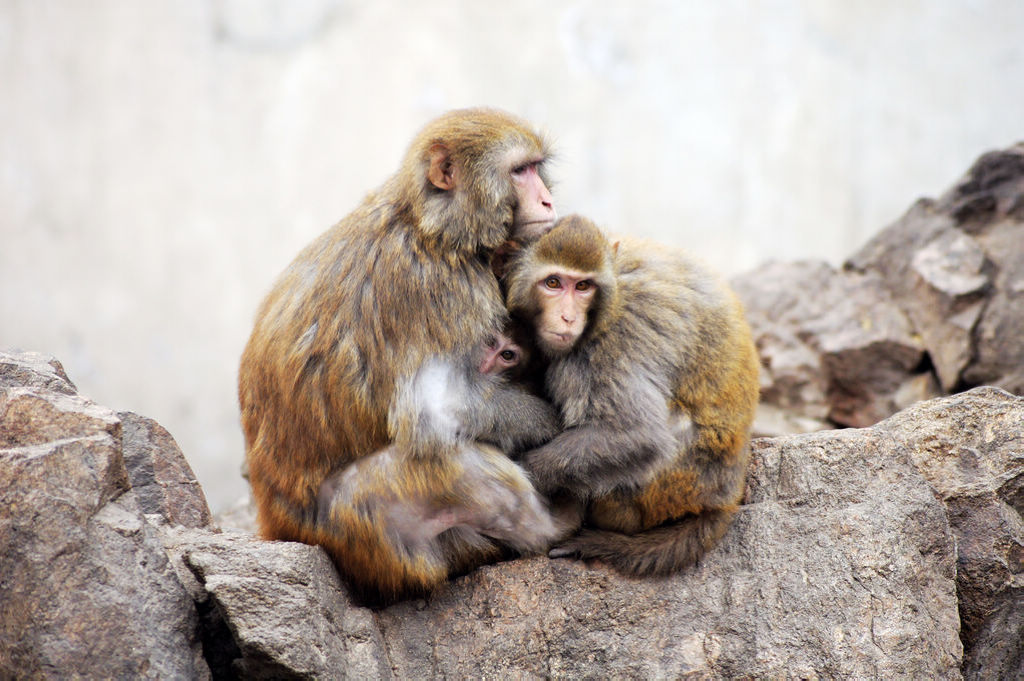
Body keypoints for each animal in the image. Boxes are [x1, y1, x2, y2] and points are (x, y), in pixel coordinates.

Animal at [503, 215, 761, 577]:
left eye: (583, 286)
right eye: (553, 283)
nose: (568, 317)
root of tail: (724, 500)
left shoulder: (619, 332)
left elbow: (635, 434)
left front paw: (522, 473)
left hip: (663, 490)